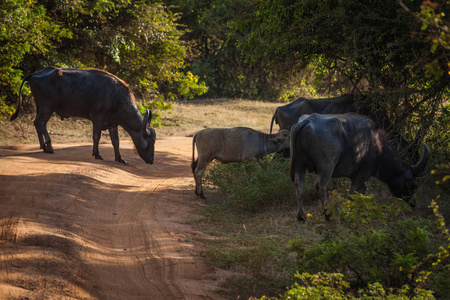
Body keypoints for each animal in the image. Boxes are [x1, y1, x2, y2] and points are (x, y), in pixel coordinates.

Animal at [9, 66, 156, 164]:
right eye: (149, 142)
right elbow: (96, 137)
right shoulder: (97, 118)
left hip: (40, 106)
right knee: (41, 122)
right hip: (47, 106)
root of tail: (36, 74)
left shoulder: (113, 124)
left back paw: (43, 146)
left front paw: (120, 158)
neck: (117, 97)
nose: (151, 160)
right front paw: (97, 154)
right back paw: (49, 147)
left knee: (36, 122)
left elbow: (116, 141)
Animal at [288, 112, 428, 220]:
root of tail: (306, 121)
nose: (413, 204)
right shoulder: (361, 175)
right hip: (326, 167)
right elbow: (352, 193)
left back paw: (301, 216)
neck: (377, 147)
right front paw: (348, 212)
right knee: (320, 186)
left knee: (299, 185)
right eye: (411, 185)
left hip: (299, 164)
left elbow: (361, 193)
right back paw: (328, 215)